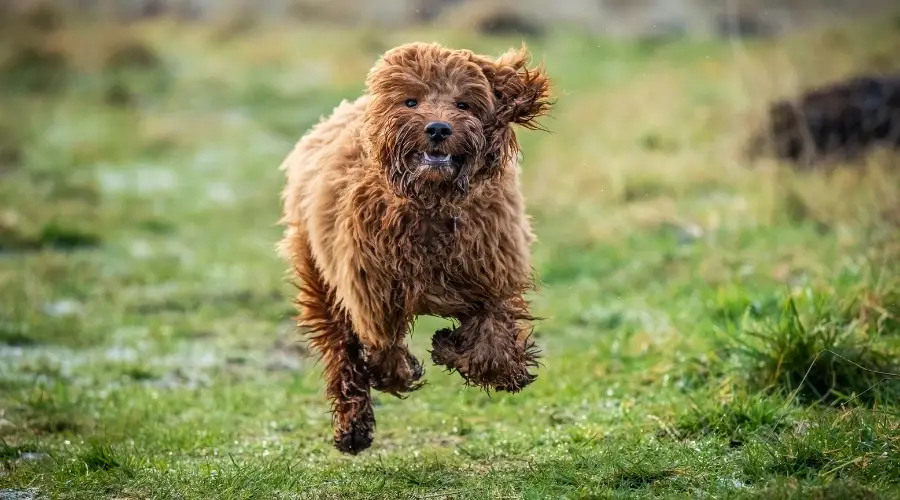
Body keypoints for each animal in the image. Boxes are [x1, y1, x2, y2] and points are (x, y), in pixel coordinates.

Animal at [278, 41, 552, 456]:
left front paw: (453, 348)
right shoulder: (371, 290)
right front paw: (405, 369)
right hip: (319, 274)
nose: (438, 128)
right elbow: (383, 348)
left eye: (463, 104)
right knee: (341, 349)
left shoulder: (492, 276)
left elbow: (493, 348)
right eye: (411, 101)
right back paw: (353, 427)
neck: (431, 202)